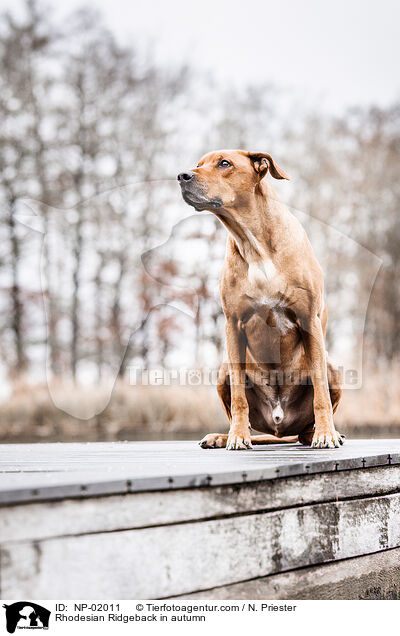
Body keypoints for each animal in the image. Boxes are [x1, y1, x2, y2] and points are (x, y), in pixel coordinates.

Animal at [178, 150, 344, 450]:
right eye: (198, 165)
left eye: (224, 163)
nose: (182, 176)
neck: (253, 242)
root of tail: (278, 425)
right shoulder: (233, 325)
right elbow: (238, 397)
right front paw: (237, 436)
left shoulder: (309, 321)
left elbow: (321, 394)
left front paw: (327, 433)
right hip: (223, 370)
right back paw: (224, 435)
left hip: (331, 365)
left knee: (309, 420)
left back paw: (318, 433)